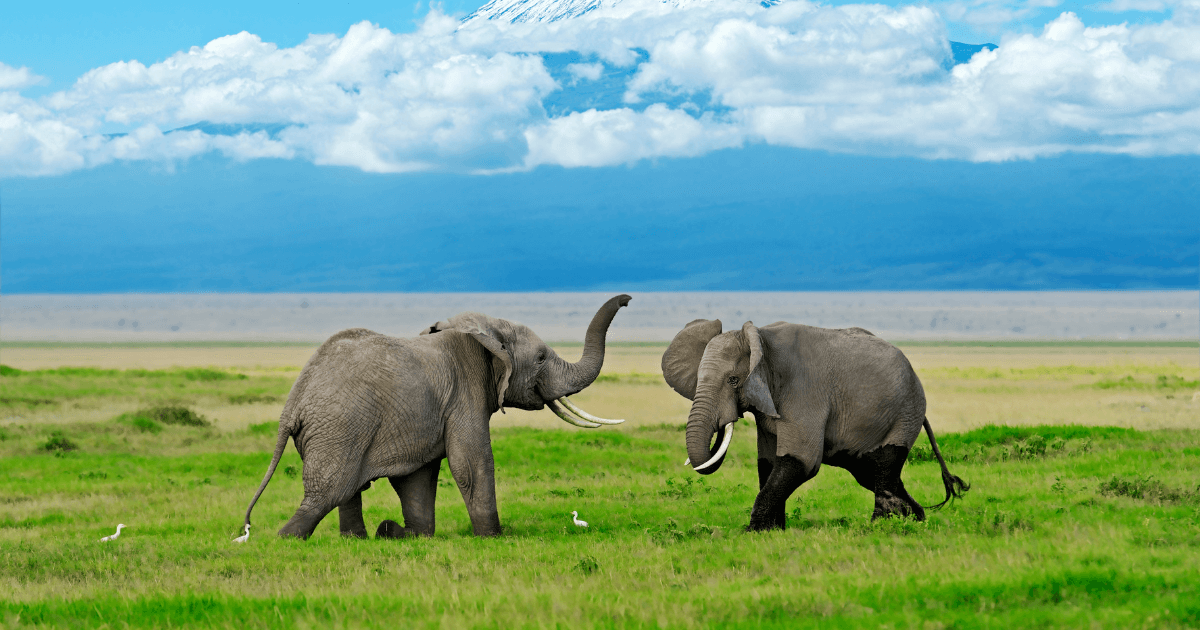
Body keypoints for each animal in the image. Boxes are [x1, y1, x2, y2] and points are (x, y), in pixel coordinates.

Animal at [243, 294, 632, 539]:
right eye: (540, 358)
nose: (627, 300)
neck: (488, 332)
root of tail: (293, 403)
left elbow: (419, 477)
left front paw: (409, 534)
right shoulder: (465, 393)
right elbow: (472, 462)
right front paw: (493, 537)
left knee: (347, 491)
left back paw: (363, 538)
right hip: (340, 427)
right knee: (329, 492)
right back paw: (286, 539)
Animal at [661, 319, 968, 531]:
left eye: (733, 381)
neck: (759, 338)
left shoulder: (803, 392)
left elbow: (801, 460)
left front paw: (751, 532)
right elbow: (768, 463)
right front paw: (772, 532)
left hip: (905, 412)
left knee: (884, 467)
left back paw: (880, 527)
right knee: (872, 473)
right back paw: (916, 519)